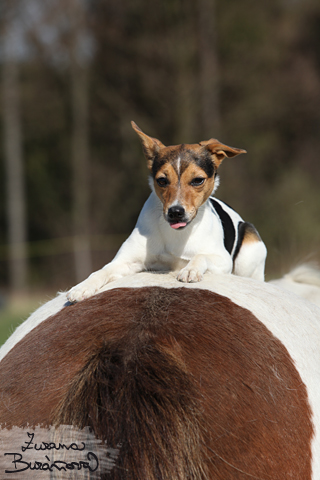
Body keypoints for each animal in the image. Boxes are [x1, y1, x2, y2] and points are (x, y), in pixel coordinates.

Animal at [68, 120, 268, 302]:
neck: (178, 234)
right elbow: (101, 271)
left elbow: (200, 256)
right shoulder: (126, 262)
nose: (176, 212)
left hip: (248, 255)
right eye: (162, 180)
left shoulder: (222, 259)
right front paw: (82, 287)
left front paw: (190, 269)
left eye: (198, 180)